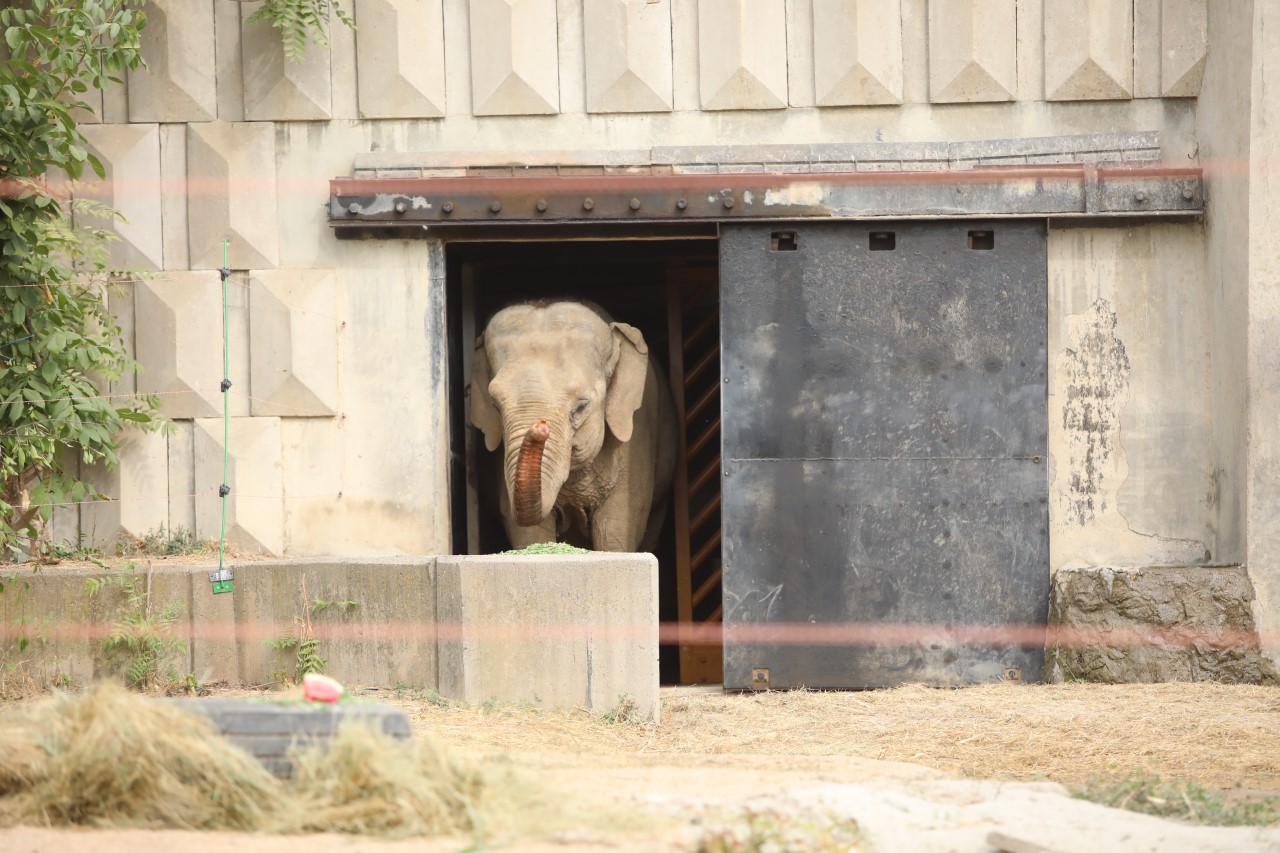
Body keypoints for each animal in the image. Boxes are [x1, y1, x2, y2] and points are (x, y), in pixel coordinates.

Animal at [465, 298, 675, 550]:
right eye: (495, 405)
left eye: (581, 407)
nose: (539, 427)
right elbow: (528, 532)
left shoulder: (637, 437)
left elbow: (615, 529)